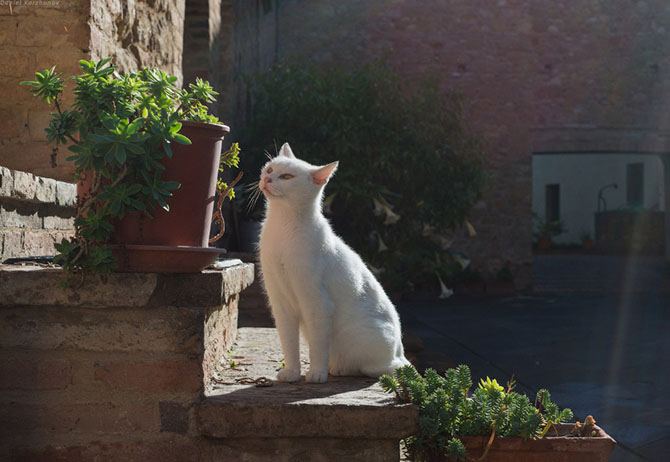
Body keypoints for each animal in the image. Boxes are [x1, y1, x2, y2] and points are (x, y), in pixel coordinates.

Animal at [258, 143, 410, 382]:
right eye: (271, 168)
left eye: (287, 176)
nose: (267, 178)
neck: (283, 225)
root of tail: (400, 352)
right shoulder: (280, 303)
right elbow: (289, 343)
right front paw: (291, 373)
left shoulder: (317, 304)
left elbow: (318, 346)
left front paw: (316, 374)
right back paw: (337, 368)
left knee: (386, 369)